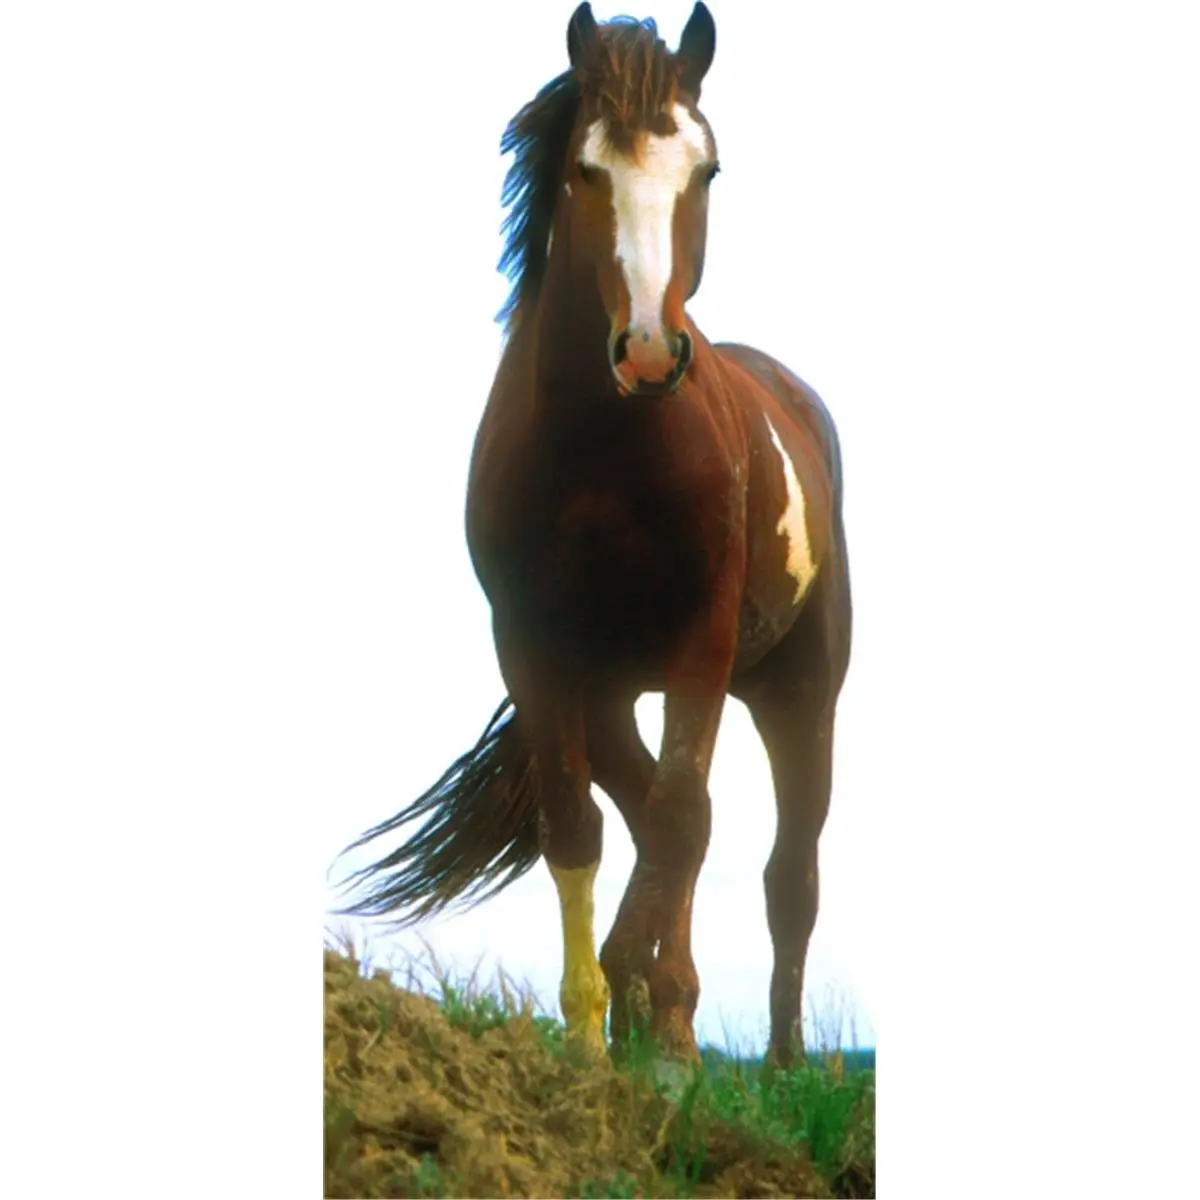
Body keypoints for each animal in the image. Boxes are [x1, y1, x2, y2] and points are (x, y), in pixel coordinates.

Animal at [336, 2, 852, 1067]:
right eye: (585, 170)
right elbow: (581, 828)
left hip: (800, 692)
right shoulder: (535, 651)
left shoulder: (701, 646)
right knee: (658, 815)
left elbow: (683, 816)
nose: (651, 352)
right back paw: (650, 1007)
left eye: (707, 170)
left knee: (786, 871)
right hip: (616, 694)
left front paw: (657, 1031)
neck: (605, 458)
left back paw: (776, 1058)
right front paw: (588, 1039)